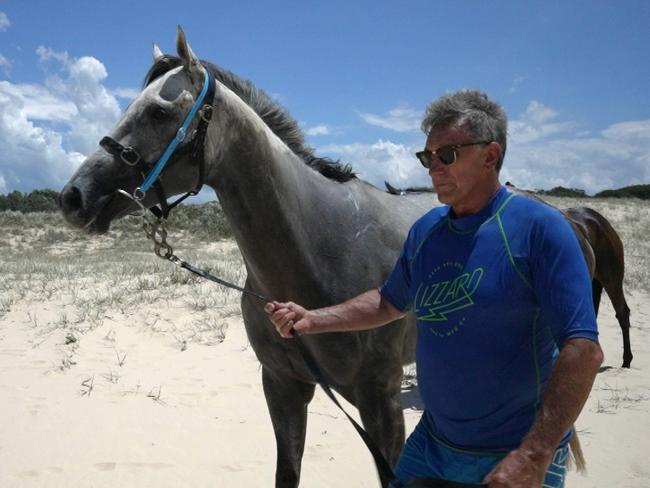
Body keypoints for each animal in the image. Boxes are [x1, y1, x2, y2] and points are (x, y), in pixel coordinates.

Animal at [60, 27, 436, 488]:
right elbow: (286, 471)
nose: (73, 197)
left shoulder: (381, 402)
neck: (324, 248)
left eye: (158, 113)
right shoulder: (282, 387)